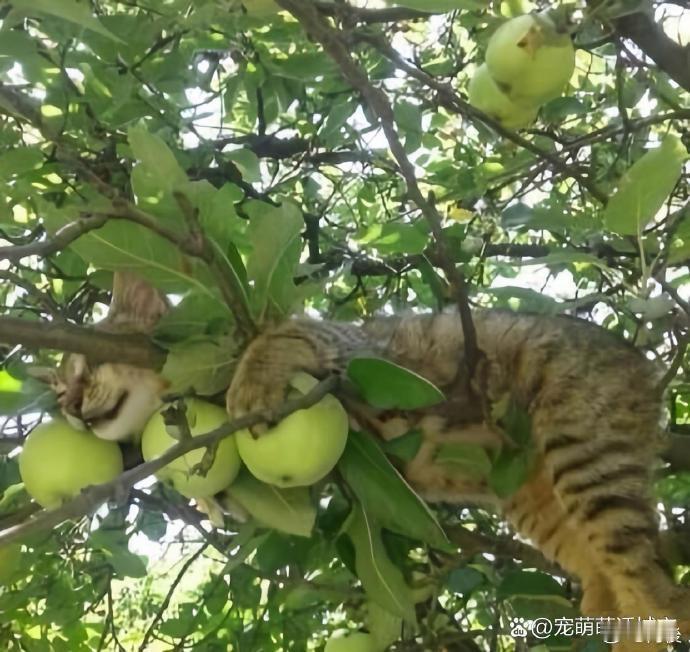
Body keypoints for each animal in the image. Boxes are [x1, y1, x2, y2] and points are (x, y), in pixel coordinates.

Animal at [47, 272, 688, 648]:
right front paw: (211, 496)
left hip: (585, 459)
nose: (70, 408)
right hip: (539, 504)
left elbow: (274, 341)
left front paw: (249, 386)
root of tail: (643, 365)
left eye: (85, 368)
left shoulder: (339, 348)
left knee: (656, 585)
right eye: (56, 393)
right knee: (625, 573)